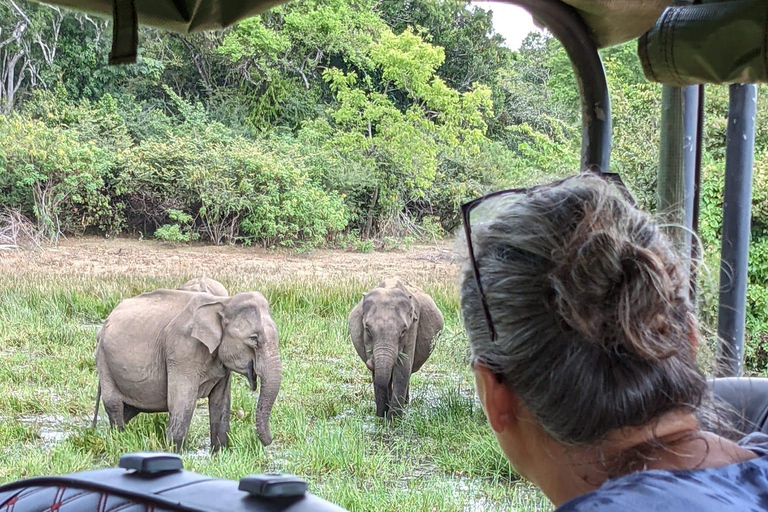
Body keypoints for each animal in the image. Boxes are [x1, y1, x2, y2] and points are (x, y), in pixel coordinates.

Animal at [91, 290, 280, 450]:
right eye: (254, 339)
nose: (268, 441)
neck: (222, 303)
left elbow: (220, 402)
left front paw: (220, 453)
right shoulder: (182, 351)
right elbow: (183, 403)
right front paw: (174, 453)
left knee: (129, 408)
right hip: (104, 360)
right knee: (114, 403)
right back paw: (118, 440)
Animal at [350, 278, 444, 418]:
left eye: (403, 331)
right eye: (368, 329)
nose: (370, 361)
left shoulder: (413, 327)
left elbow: (403, 368)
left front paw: (393, 420)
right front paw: (381, 417)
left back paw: (405, 403)